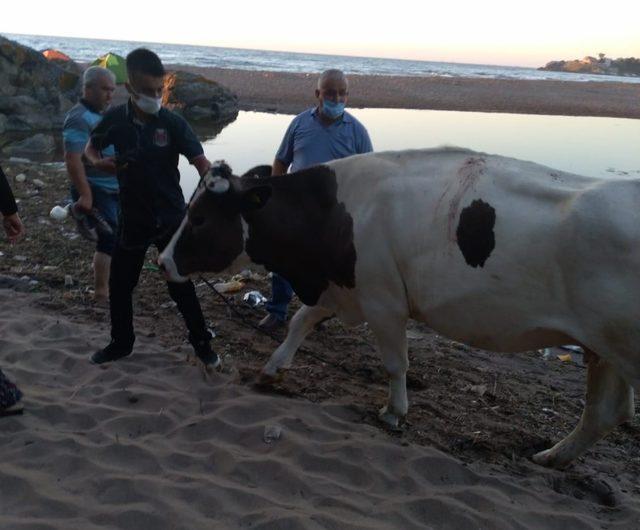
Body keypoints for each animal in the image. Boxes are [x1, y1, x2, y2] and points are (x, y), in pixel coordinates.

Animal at [159, 148, 640, 466]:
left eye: (199, 218)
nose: (162, 261)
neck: (335, 213)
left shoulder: (383, 299)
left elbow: (395, 363)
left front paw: (394, 412)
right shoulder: (343, 288)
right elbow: (299, 320)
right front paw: (272, 368)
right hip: (603, 346)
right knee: (605, 412)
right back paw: (553, 457)